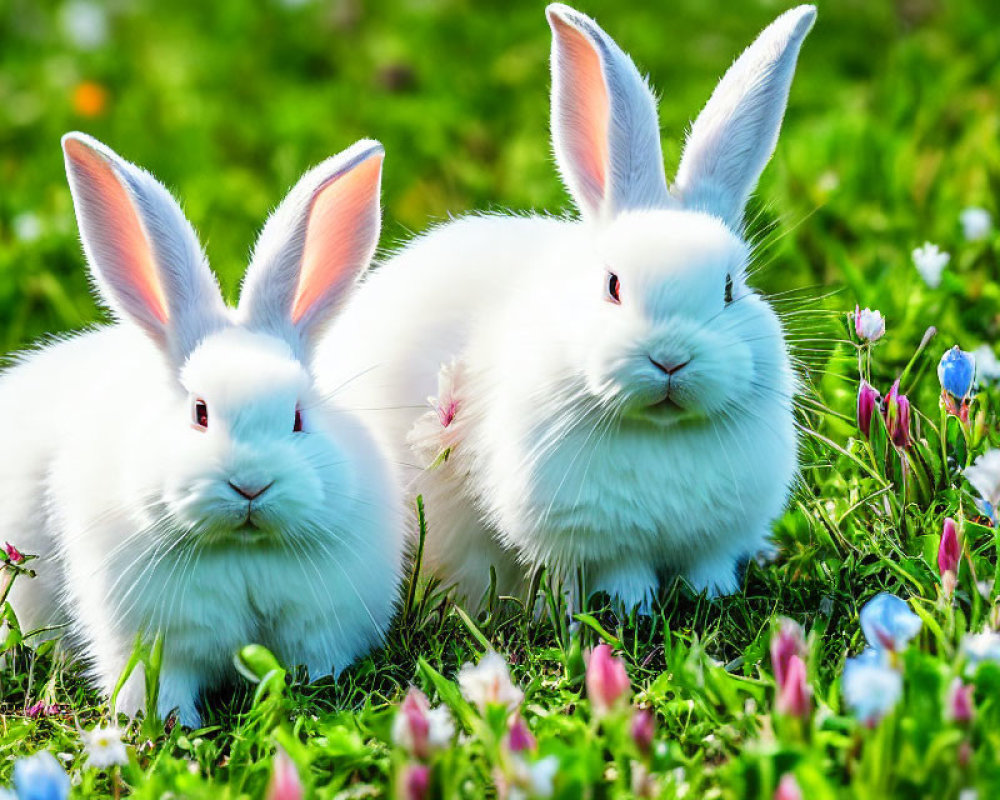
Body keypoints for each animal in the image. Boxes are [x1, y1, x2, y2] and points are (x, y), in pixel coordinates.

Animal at [3, 133, 404, 724]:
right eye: (199, 412)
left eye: (298, 417)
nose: (251, 486)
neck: (242, 550)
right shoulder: (150, 647)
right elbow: (159, 692)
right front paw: (165, 727)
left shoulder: (321, 631)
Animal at [316, 4, 816, 608]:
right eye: (613, 285)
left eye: (729, 288)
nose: (671, 359)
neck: (660, 430)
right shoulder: (595, 544)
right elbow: (622, 575)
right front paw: (630, 609)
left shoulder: (714, 540)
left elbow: (709, 568)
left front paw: (712, 597)